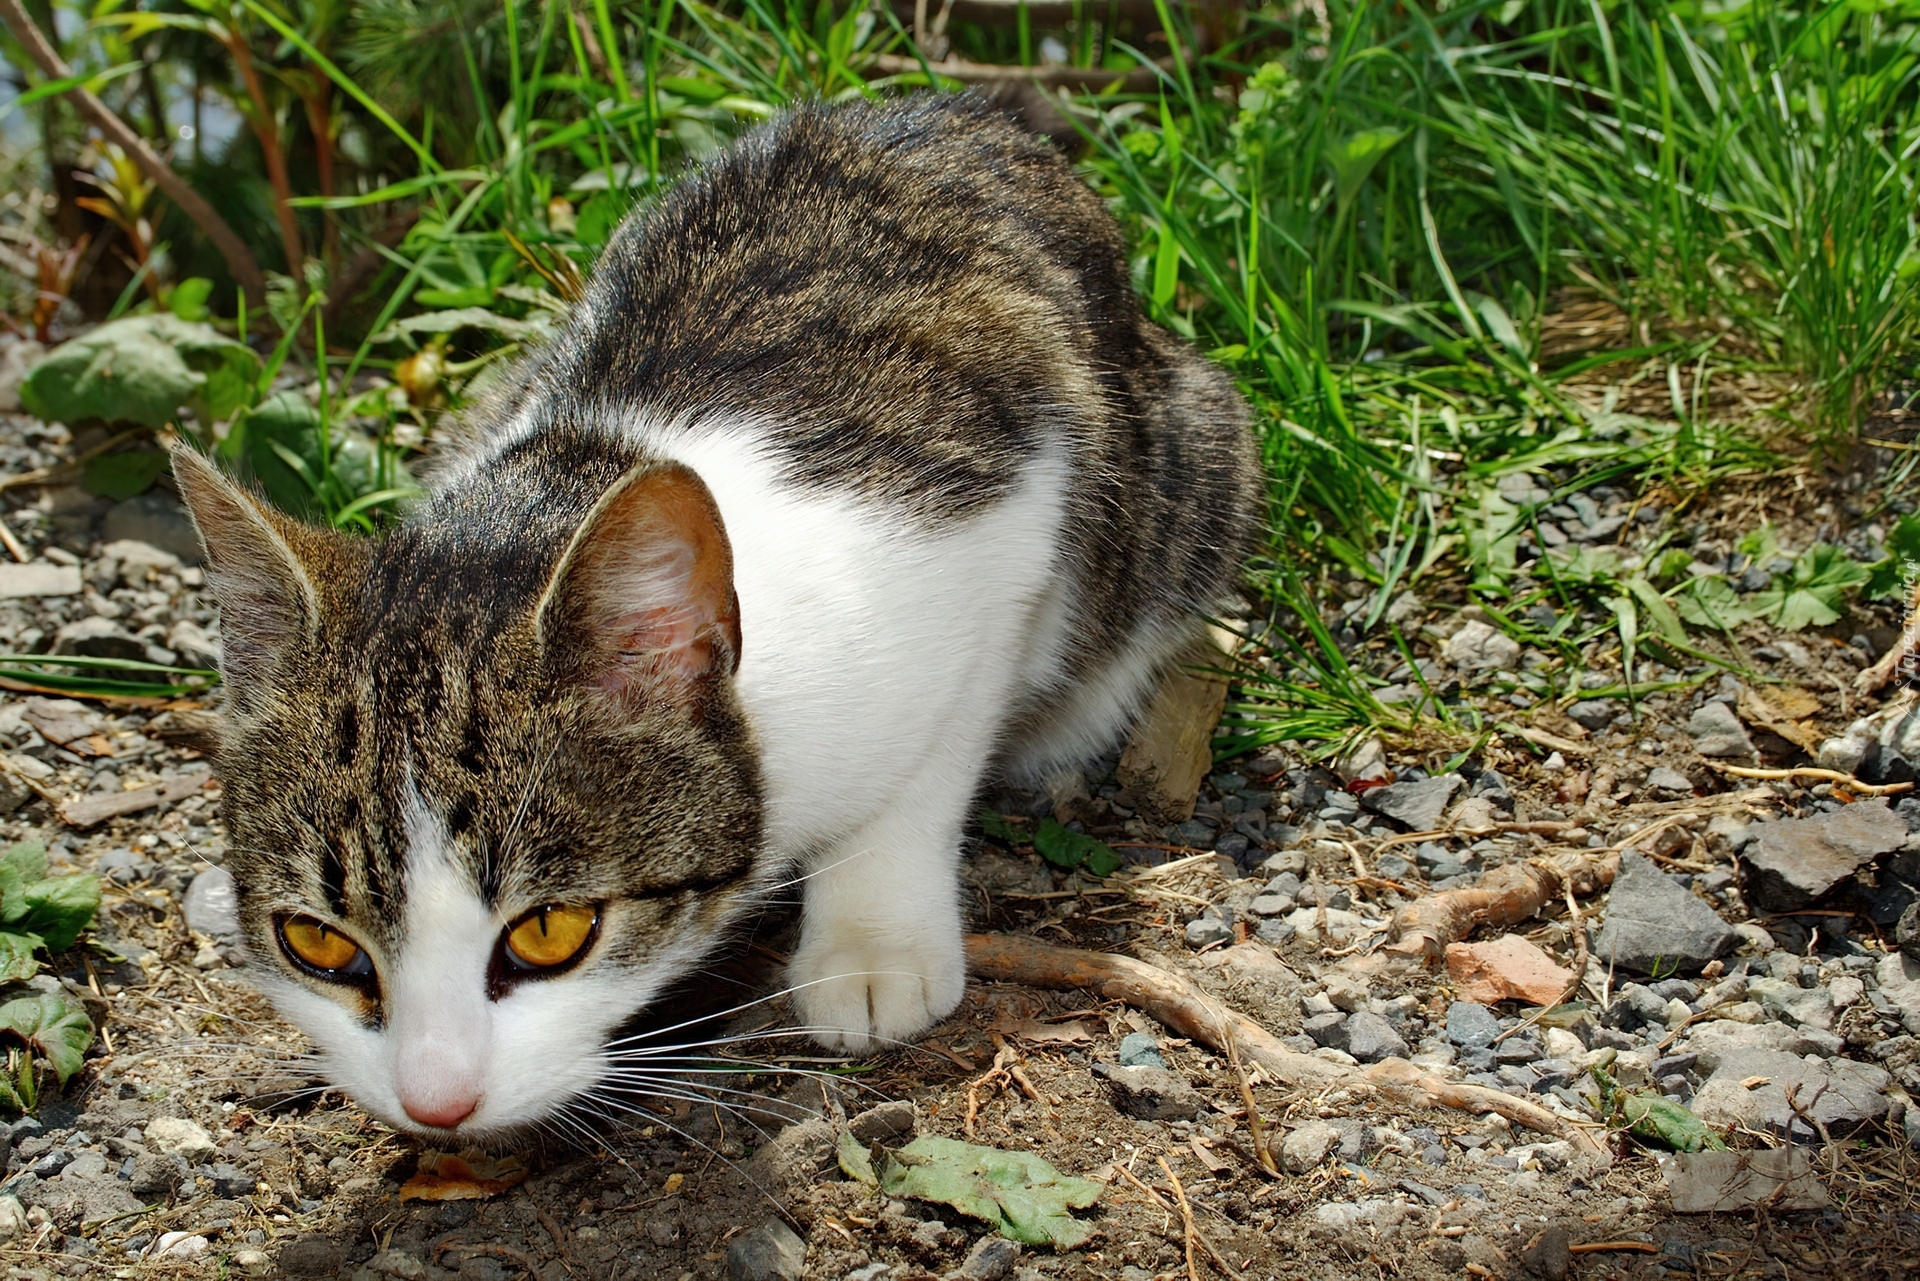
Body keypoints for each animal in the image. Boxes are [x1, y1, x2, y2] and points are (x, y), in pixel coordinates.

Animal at [172, 97, 1259, 1144]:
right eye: (317, 942)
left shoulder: (997, 540)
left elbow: (928, 766)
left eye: (550, 932)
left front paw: (874, 941)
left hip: (1194, 453)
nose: (434, 1101)